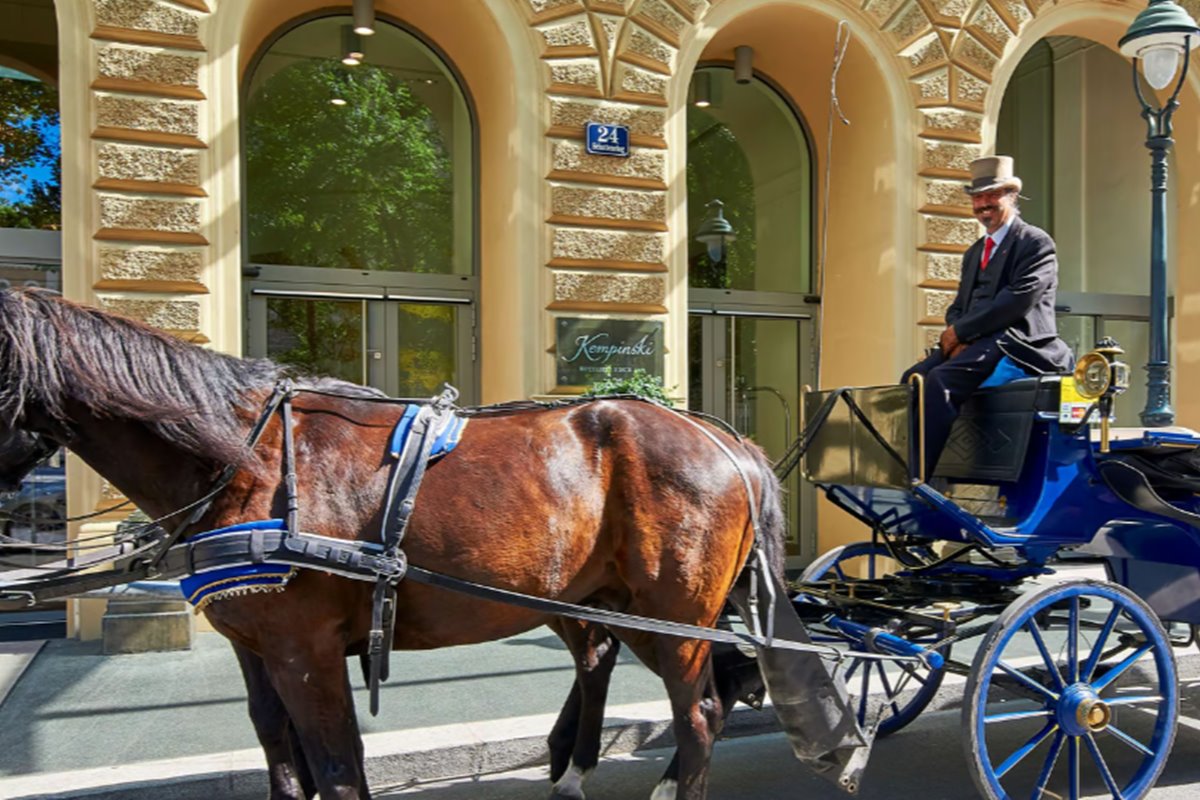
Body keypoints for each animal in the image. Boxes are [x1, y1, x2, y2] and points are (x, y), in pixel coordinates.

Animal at [0, 289, 787, 800]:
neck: (248, 460)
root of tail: (725, 440)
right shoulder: (256, 646)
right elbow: (282, 756)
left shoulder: (306, 651)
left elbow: (338, 767)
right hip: (600, 600)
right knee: (616, 669)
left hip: (673, 615)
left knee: (698, 715)